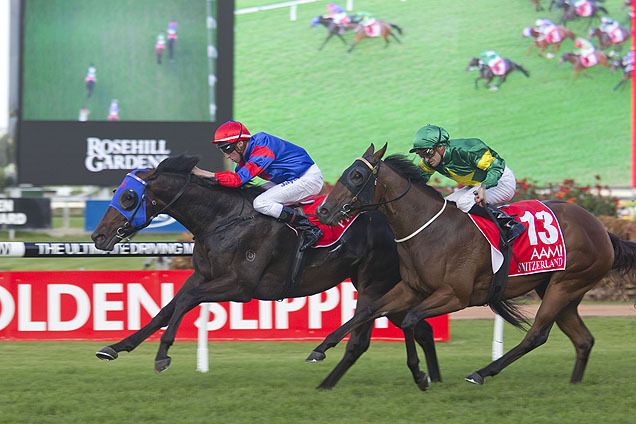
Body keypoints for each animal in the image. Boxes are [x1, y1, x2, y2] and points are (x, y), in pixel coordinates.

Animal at [90, 155, 438, 390]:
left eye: (128, 197)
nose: (98, 236)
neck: (223, 219)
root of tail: (394, 219)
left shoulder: (240, 286)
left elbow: (187, 301)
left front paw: (162, 355)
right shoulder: (203, 276)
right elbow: (166, 309)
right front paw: (115, 347)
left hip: (373, 284)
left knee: (363, 339)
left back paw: (328, 378)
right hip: (382, 286)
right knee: (416, 327)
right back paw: (427, 377)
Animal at [308, 145, 636, 388]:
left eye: (357, 175)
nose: (323, 210)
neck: (429, 230)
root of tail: (602, 230)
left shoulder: (456, 295)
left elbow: (411, 320)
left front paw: (420, 375)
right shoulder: (411, 288)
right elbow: (367, 311)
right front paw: (319, 349)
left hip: (565, 285)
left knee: (537, 335)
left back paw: (481, 373)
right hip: (562, 291)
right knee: (583, 340)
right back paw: (574, 384)